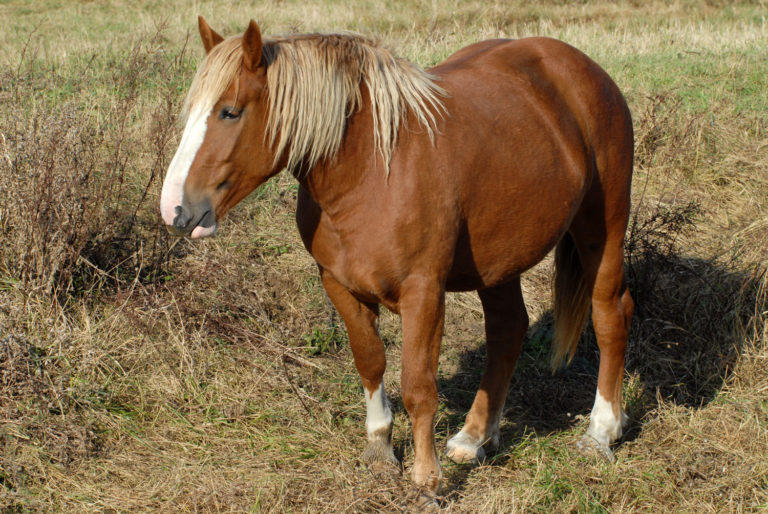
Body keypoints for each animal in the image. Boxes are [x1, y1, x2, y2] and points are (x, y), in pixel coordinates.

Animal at [160, 17, 634, 496]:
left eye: (230, 112)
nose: (175, 210)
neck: (371, 171)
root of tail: (584, 70)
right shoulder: (339, 284)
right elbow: (370, 362)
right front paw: (380, 448)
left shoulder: (423, 292)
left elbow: (418, 386)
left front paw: (427, 478)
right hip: (500, 258)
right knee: (508, 330)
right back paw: (474, 437)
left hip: (602, 230)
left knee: (610, 314)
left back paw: (601, 432)